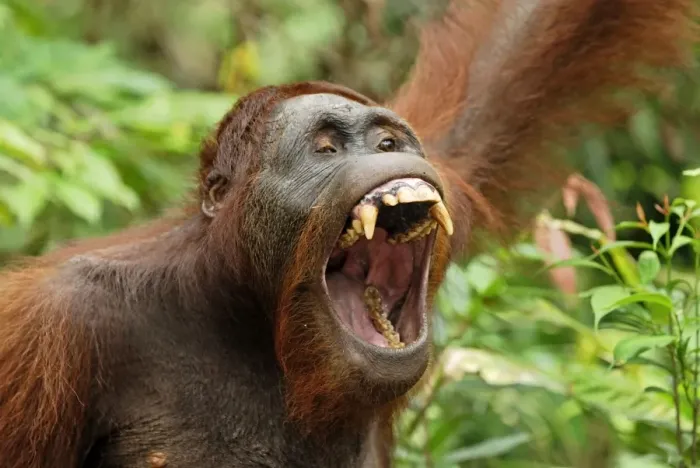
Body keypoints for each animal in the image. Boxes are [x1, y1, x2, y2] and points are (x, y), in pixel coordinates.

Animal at [0, 0, 696, 467]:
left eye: (387, 143)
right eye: (328, 149)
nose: (383, 160)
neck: (251, 316)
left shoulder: (447, 161)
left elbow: (510, 55)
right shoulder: (49, 332)